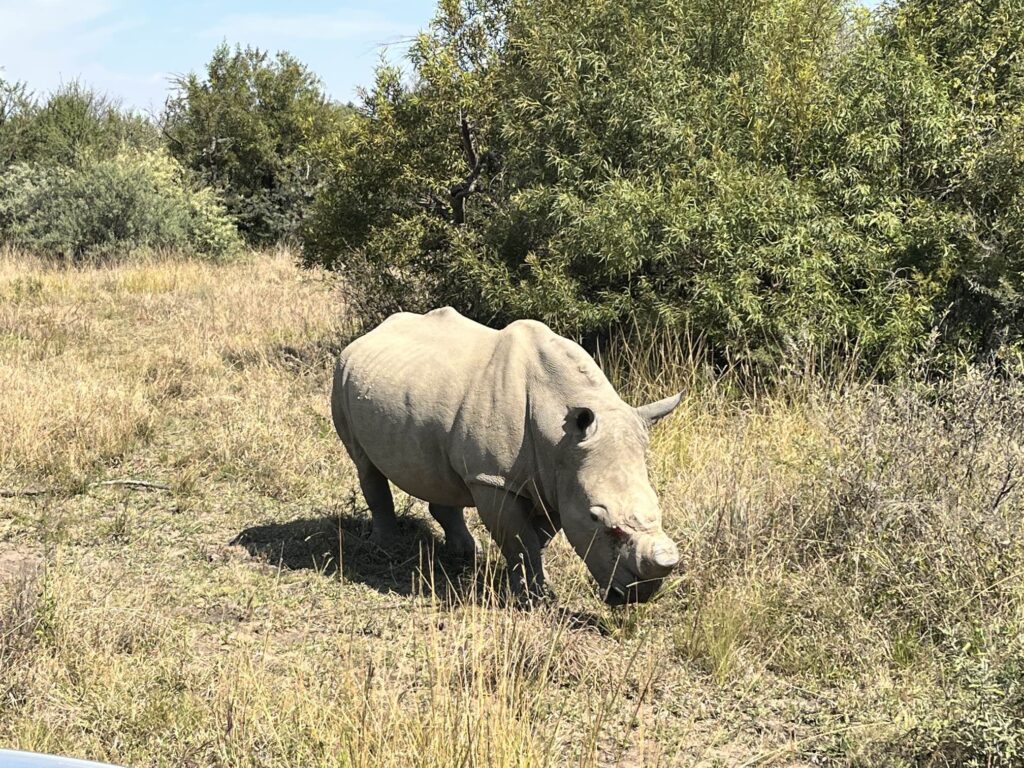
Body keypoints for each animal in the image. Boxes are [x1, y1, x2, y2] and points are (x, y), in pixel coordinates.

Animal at [331, 309, 684, 606]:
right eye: (596, 517)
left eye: (657, 505)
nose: (640, 594)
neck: (559, 434)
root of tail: (371, 333)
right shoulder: (495, 479)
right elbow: (520, 539)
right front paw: (534, 599)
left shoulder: (557, 481)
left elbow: (536, 538)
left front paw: (528, 586)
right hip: (342, 373)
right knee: (365, 464)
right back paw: (385, 545)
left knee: (441, 474)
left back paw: (466, 553)